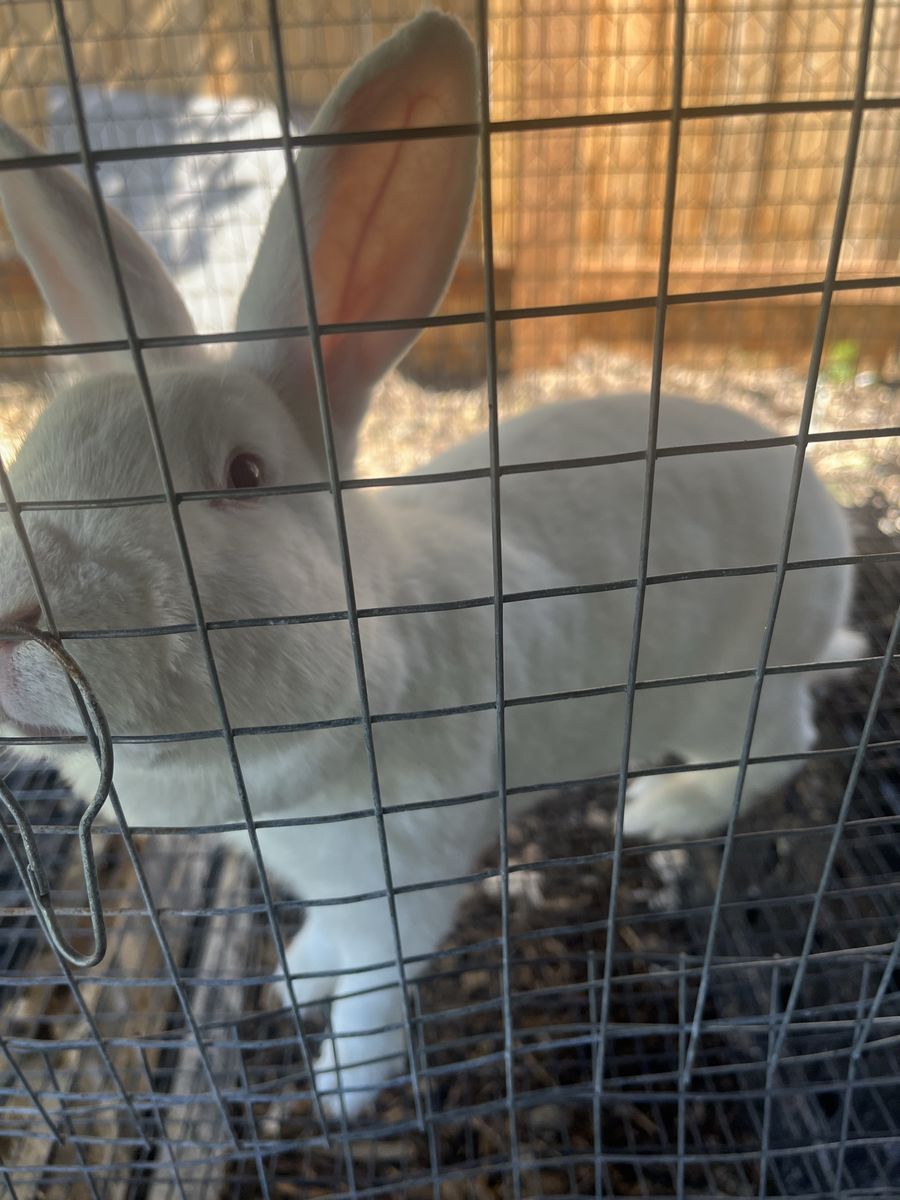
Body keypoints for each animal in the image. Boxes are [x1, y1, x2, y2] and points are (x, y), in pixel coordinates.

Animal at [0, 12, 864, 1119]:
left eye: (243, 473)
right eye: (28, 463)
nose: (15, 615)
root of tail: (831, 530)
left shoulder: (400, 889)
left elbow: (373, 990)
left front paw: (338, 1089)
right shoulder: (325, 882)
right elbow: (328, 942)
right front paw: (293, 982)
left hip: (729, 690)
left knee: (780, 748)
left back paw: (658, 810)